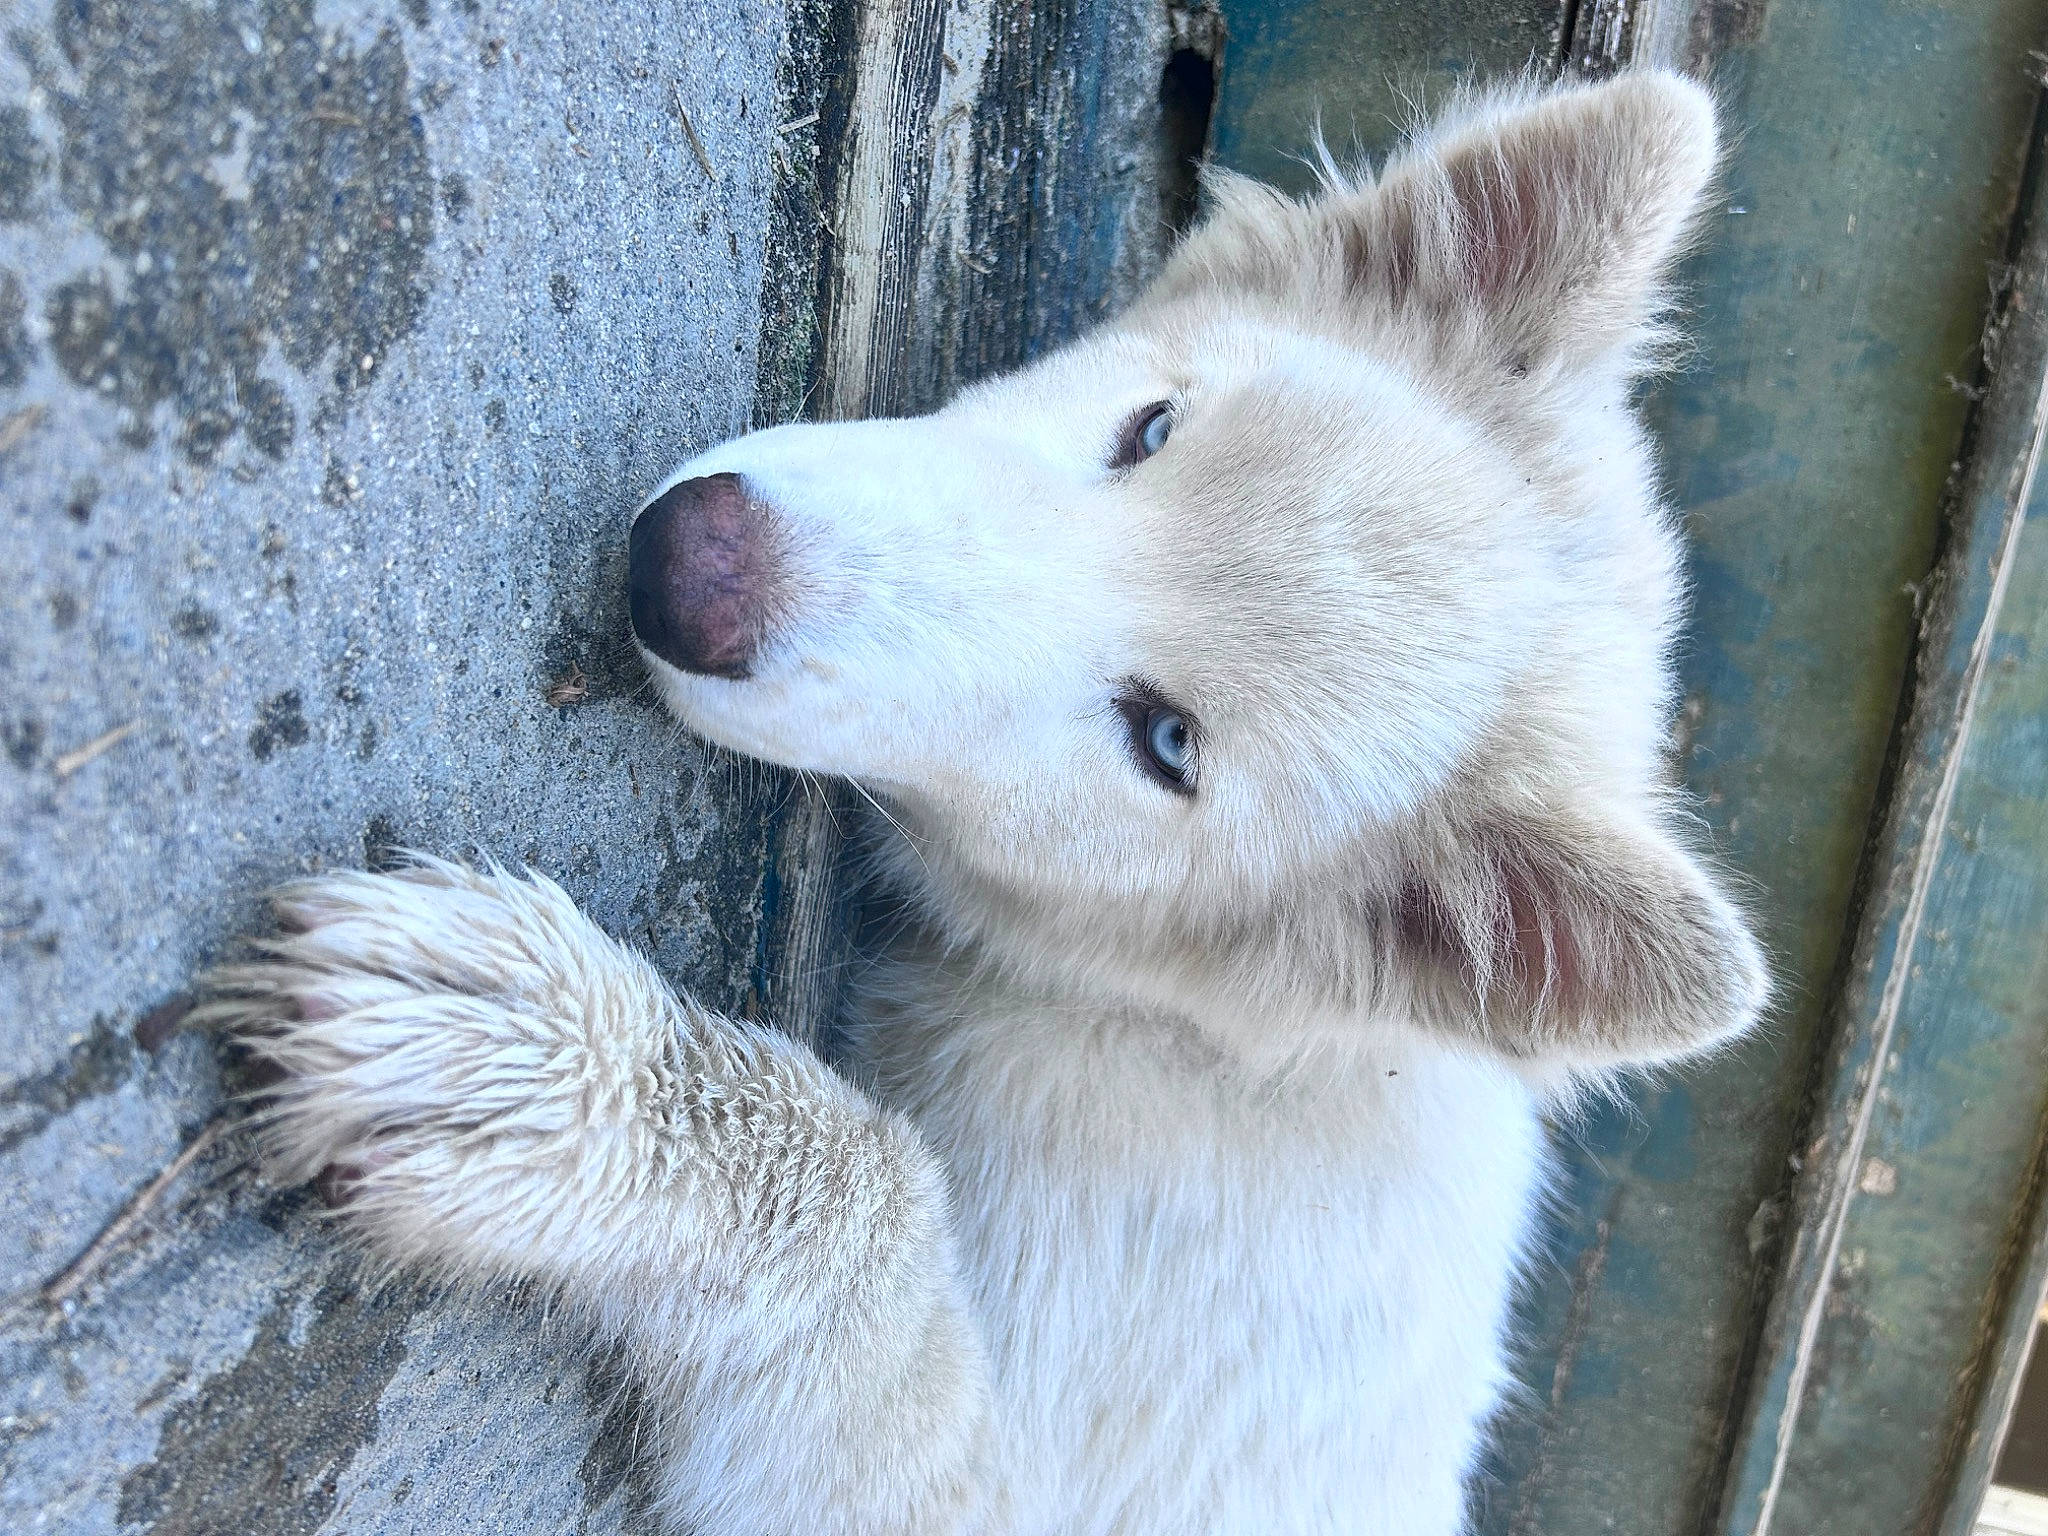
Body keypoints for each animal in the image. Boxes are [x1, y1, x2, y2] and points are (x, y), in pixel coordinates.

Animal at [204, 70, 1765, 1534]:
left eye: (1167, 742)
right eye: (1150, 428)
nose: (689, 569)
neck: (1181, 1036)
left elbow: (871, 1186)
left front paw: (561, 1079)